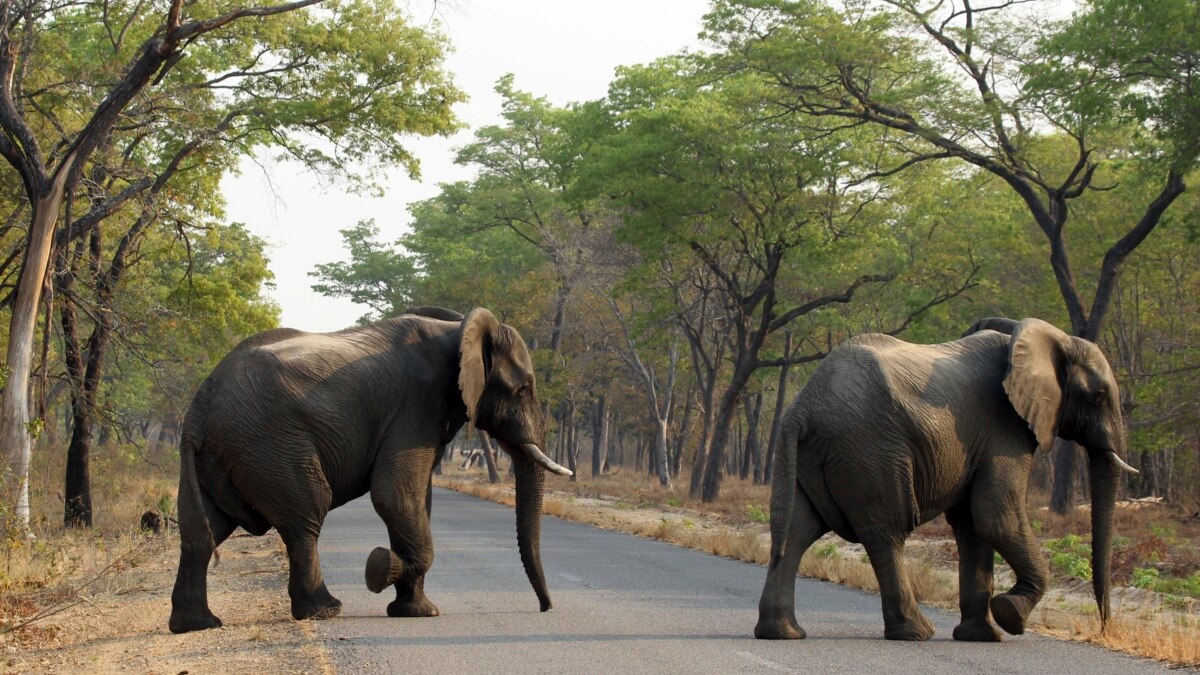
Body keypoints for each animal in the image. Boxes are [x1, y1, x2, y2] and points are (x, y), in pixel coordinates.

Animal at [165, 305, 571, 629]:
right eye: (524, 389)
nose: (545, 608)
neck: (459, 328)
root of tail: (199, 409)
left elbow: (416, 500)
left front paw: (416, 611)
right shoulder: (416, 406)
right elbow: (394, 495)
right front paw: (378, 569)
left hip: (219, 455)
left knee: (202, 531)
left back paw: (197, 625)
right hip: (269, 443)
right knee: (305, 516)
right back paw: (325, 610)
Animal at [753, 317, 1137, 638]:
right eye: (1098, 396)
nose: (1105, 627)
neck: (1045, 337)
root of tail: (803, 406)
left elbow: (972, 524)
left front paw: (982, 636)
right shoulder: (1005, 429)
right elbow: (996, 517)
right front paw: (1010, 616)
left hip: (814, 453)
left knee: (795, 530)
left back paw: (783, 633)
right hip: (869, 450)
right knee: (885, 532)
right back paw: (916, 632)